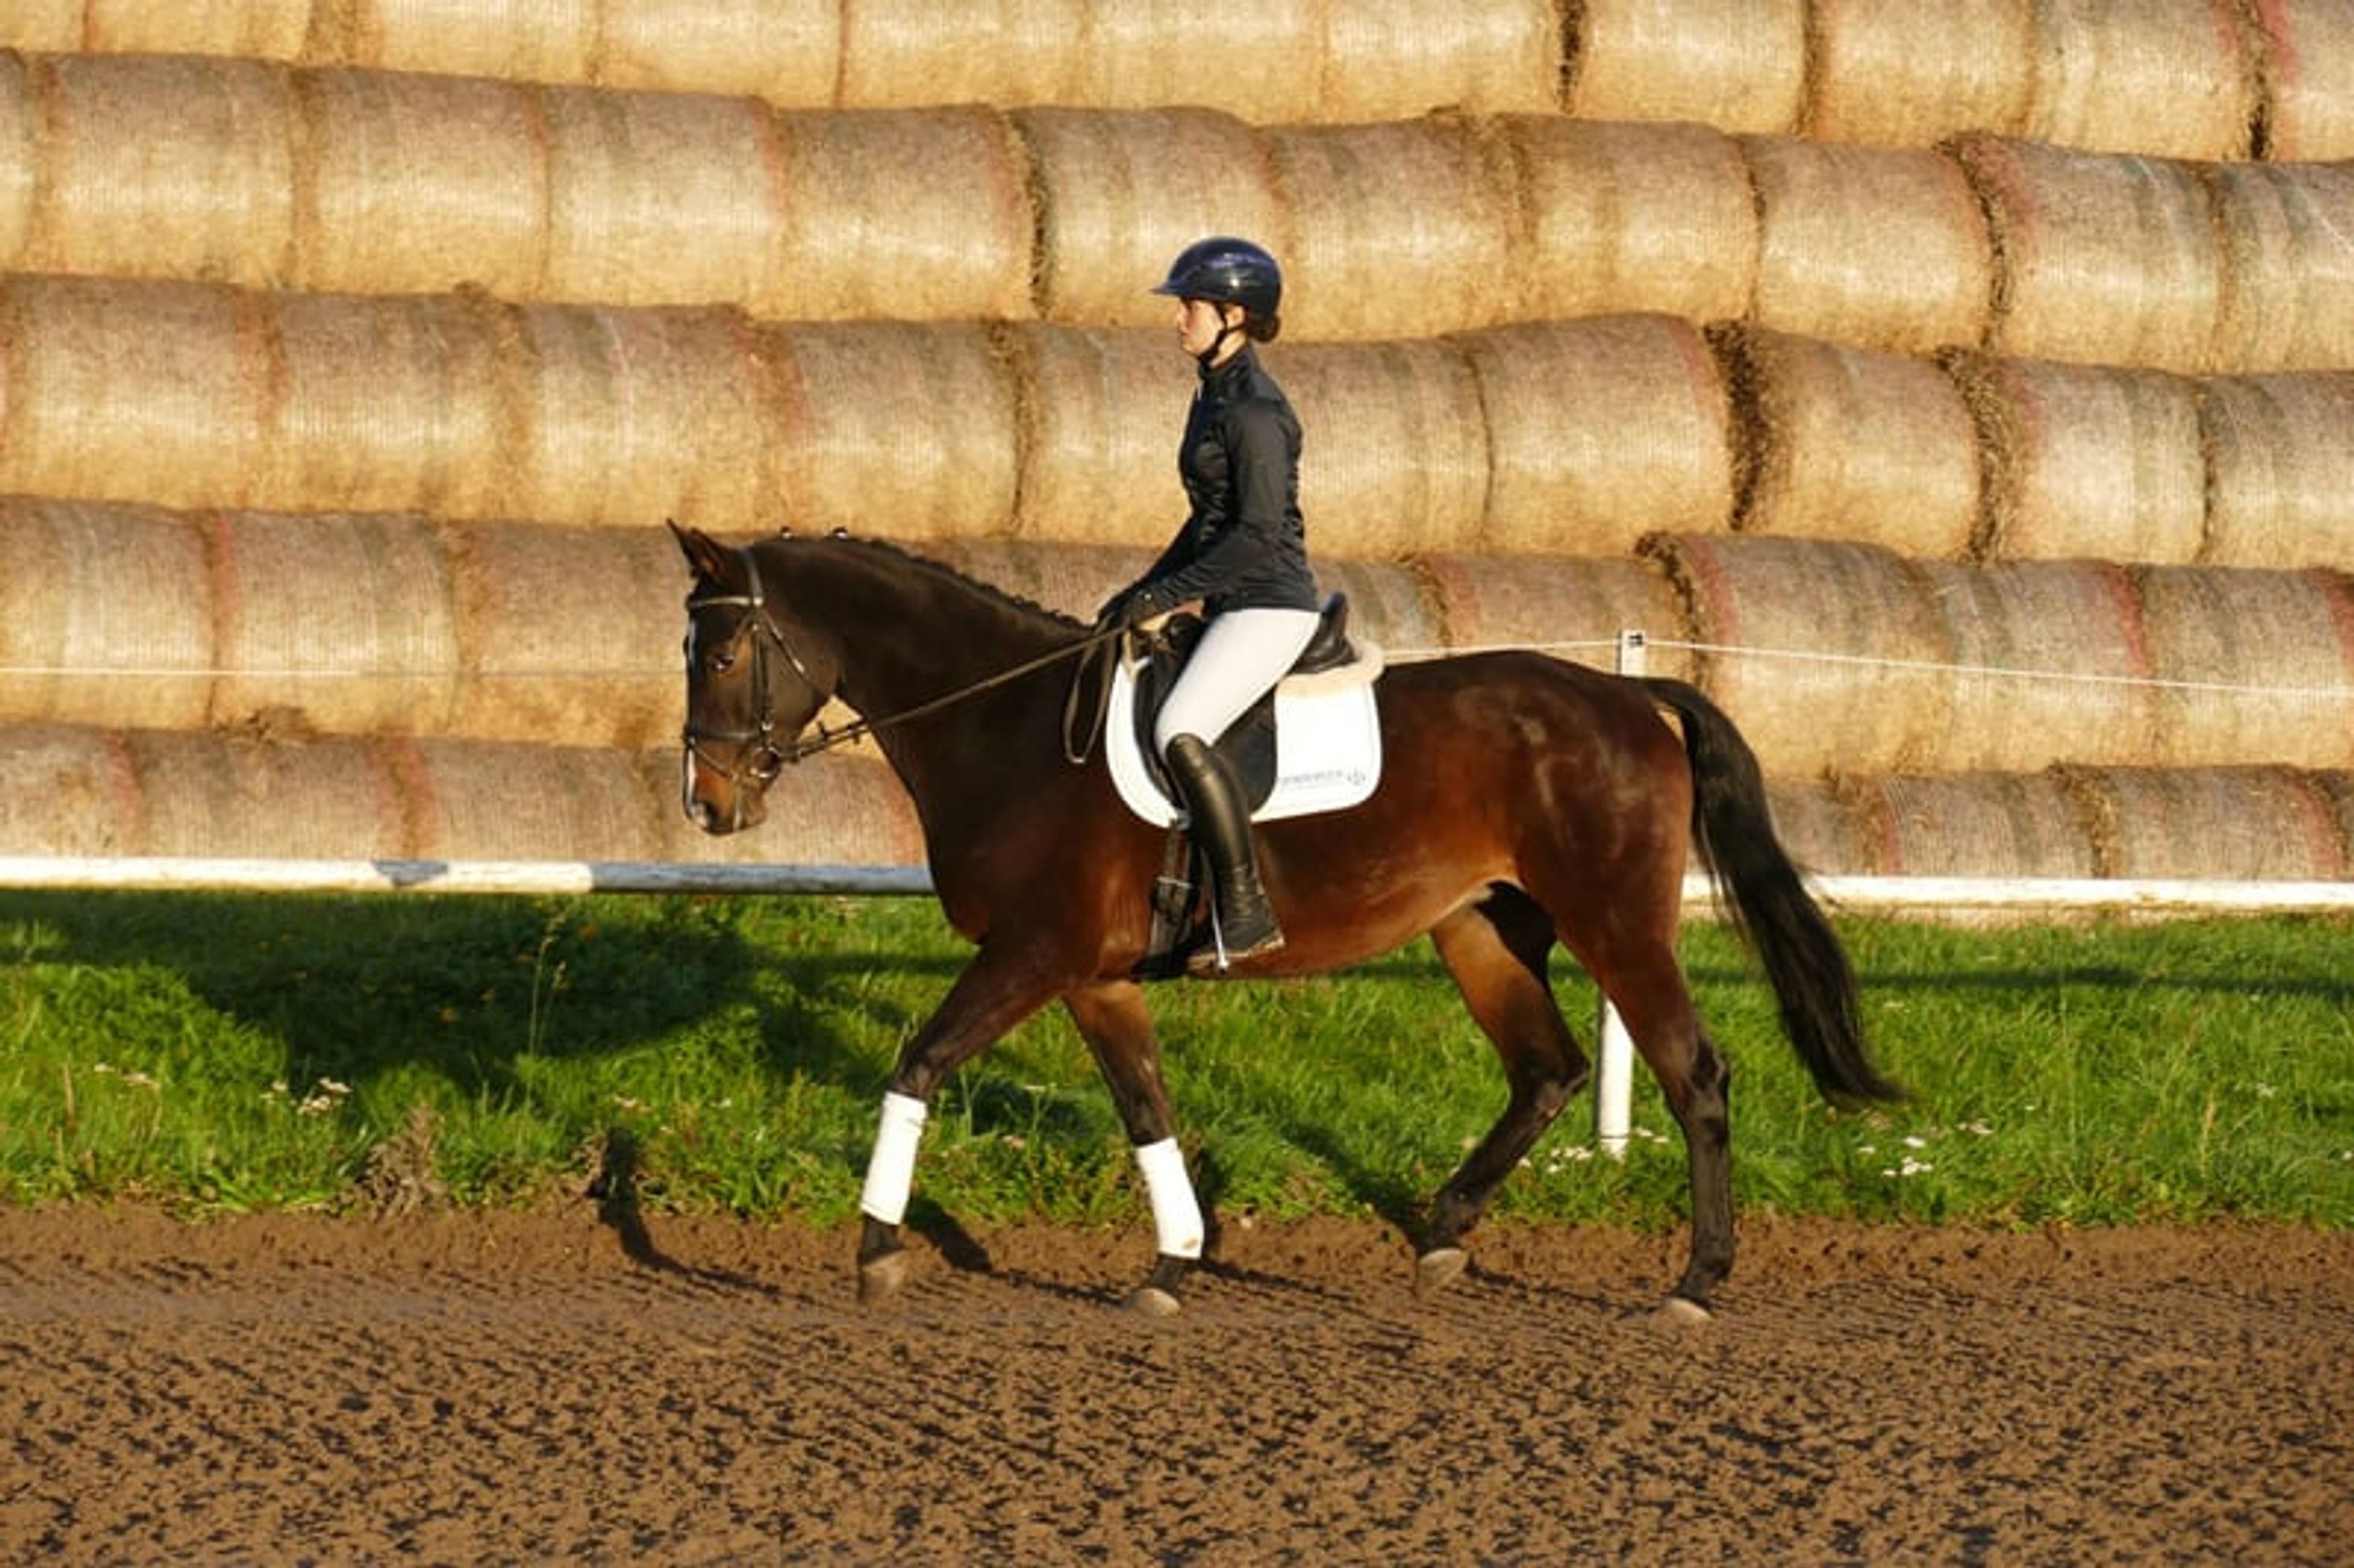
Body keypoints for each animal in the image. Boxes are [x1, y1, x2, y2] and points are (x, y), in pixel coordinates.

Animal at [670, 522, 1900, 1318]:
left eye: (722, 652)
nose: (710, 804)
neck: (1007, 725)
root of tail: (1633, 694)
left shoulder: (1032, 952)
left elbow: (917, 1062)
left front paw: (876, 1251)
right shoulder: (1093, 977)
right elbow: (1147, 1109)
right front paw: (1172, 1263)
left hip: (1618, 924)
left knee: (1694, 1072)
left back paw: (1695, 1283)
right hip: (1482, 927)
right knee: (1545, 1069)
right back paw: (1442, 1236)